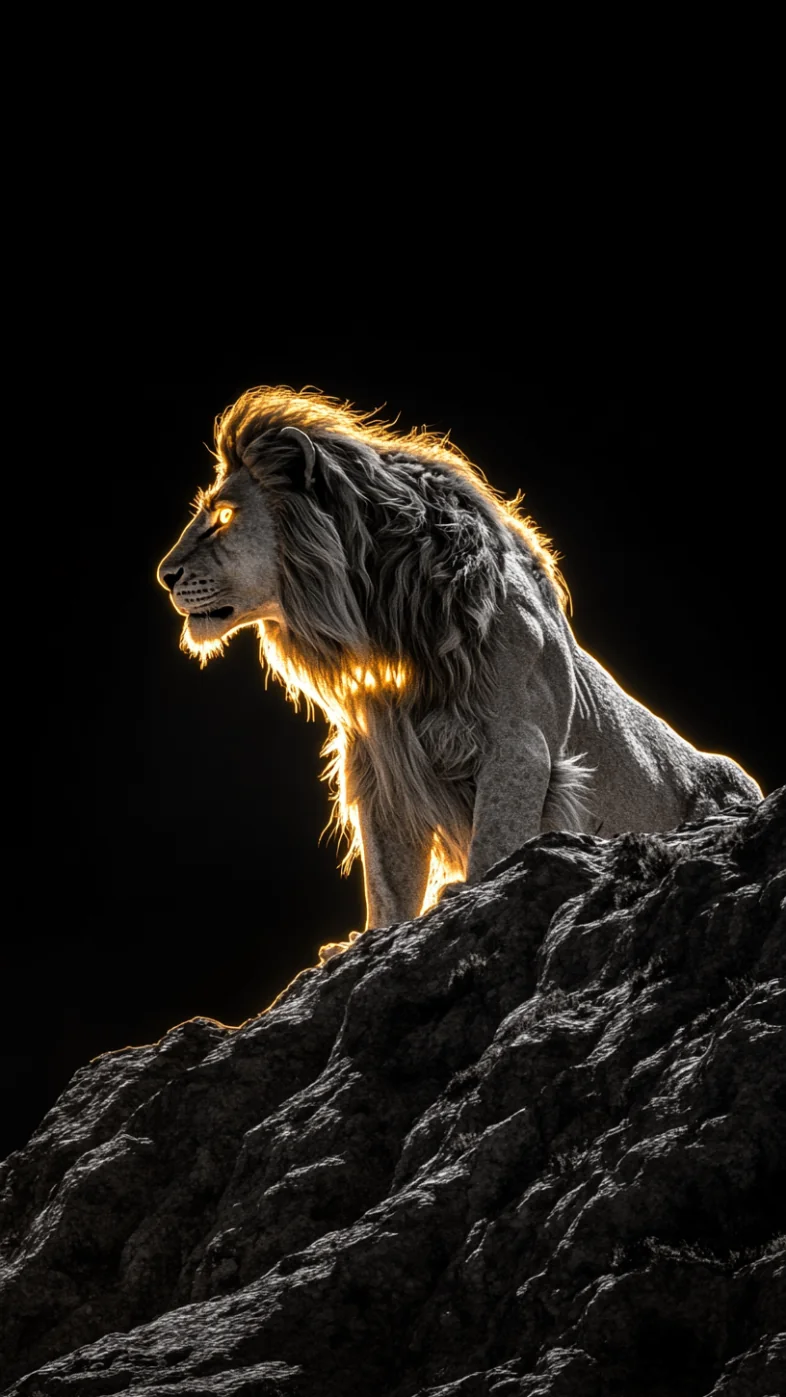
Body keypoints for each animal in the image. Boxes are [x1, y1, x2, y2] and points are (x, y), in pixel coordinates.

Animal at [157, 387, 762, 948]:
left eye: (223, 518)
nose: (164, 575)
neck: (378, 616)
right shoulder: (379, 759)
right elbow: (388, 875)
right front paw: (367, 939)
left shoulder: (519, 740)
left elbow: (496, 834)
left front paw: (466, 892)